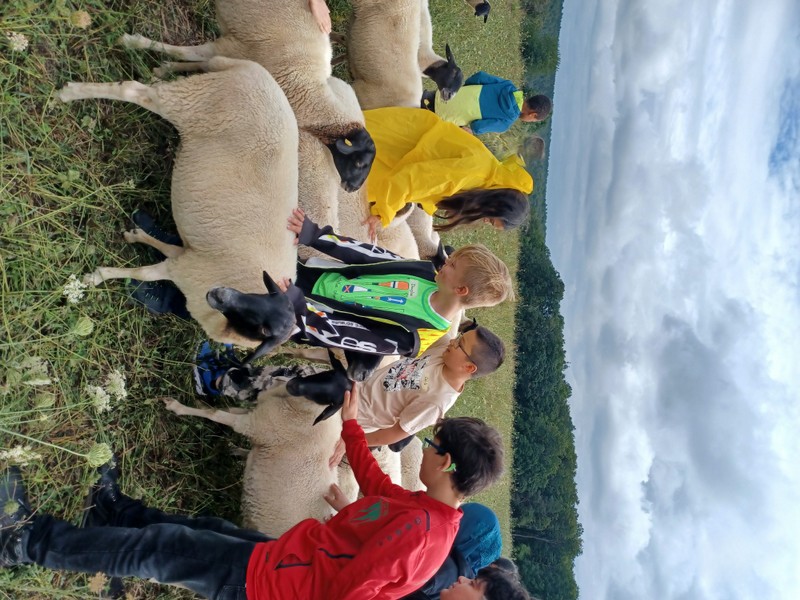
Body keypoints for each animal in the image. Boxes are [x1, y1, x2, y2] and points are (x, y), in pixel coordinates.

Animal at [58, 57, 298, 356]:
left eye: (262, 325)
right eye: (258, 315)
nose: (218, 293)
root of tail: (255, 70)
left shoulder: (190, 261)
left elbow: (166, 251)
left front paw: (135, 236)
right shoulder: (188, 273)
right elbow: (144, 273)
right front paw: (98, 276)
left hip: (204, 85)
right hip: (192, 102)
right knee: (134, 90)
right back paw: (68, 93)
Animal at [120, 0, 375, 193]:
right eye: (360, 162)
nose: (351, 189)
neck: (306, 88)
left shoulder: (232, 54)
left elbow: (198, 62)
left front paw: (163, 70)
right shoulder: (231, 46)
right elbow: (186, 52)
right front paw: (134, 42)